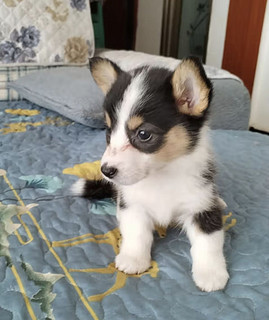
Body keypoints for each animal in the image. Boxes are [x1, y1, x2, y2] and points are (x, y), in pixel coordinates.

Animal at [73, 56, 228, 292]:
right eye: (109, 131)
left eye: (143, 134)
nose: (106, 171)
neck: (162, 174)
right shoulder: (132, 205)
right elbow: (137, 233)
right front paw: (134, 259)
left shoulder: (201, 207)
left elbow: (208, 242)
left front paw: (210, 273)